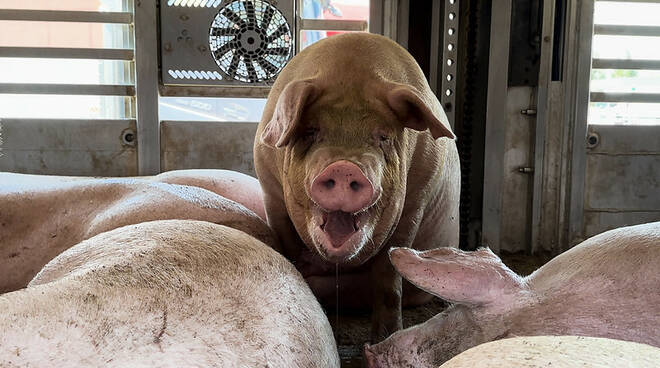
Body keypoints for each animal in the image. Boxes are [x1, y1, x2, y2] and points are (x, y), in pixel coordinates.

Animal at [253, 32, 458, 342]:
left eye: (383, 137)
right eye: (310, 131)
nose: (344, 167)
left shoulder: (416, 200)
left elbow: (388, 278)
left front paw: (383, 340)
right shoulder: (270, 193)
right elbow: (288, 246)